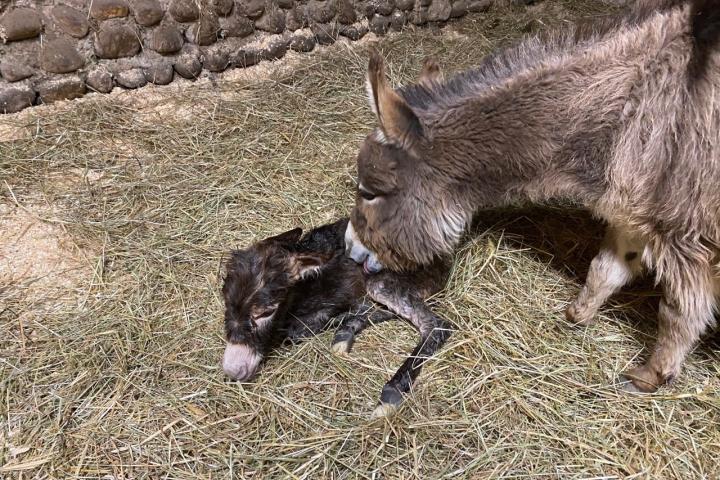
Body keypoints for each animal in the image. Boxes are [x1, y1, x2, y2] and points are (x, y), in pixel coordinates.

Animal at [221, 218, 450, 416]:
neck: (305, 288)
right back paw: (344, 335)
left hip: (382, 283)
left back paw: (391, 393)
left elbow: (301, 328)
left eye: (267, 312)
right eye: (226, 299)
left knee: (437, 325)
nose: (233, 370)